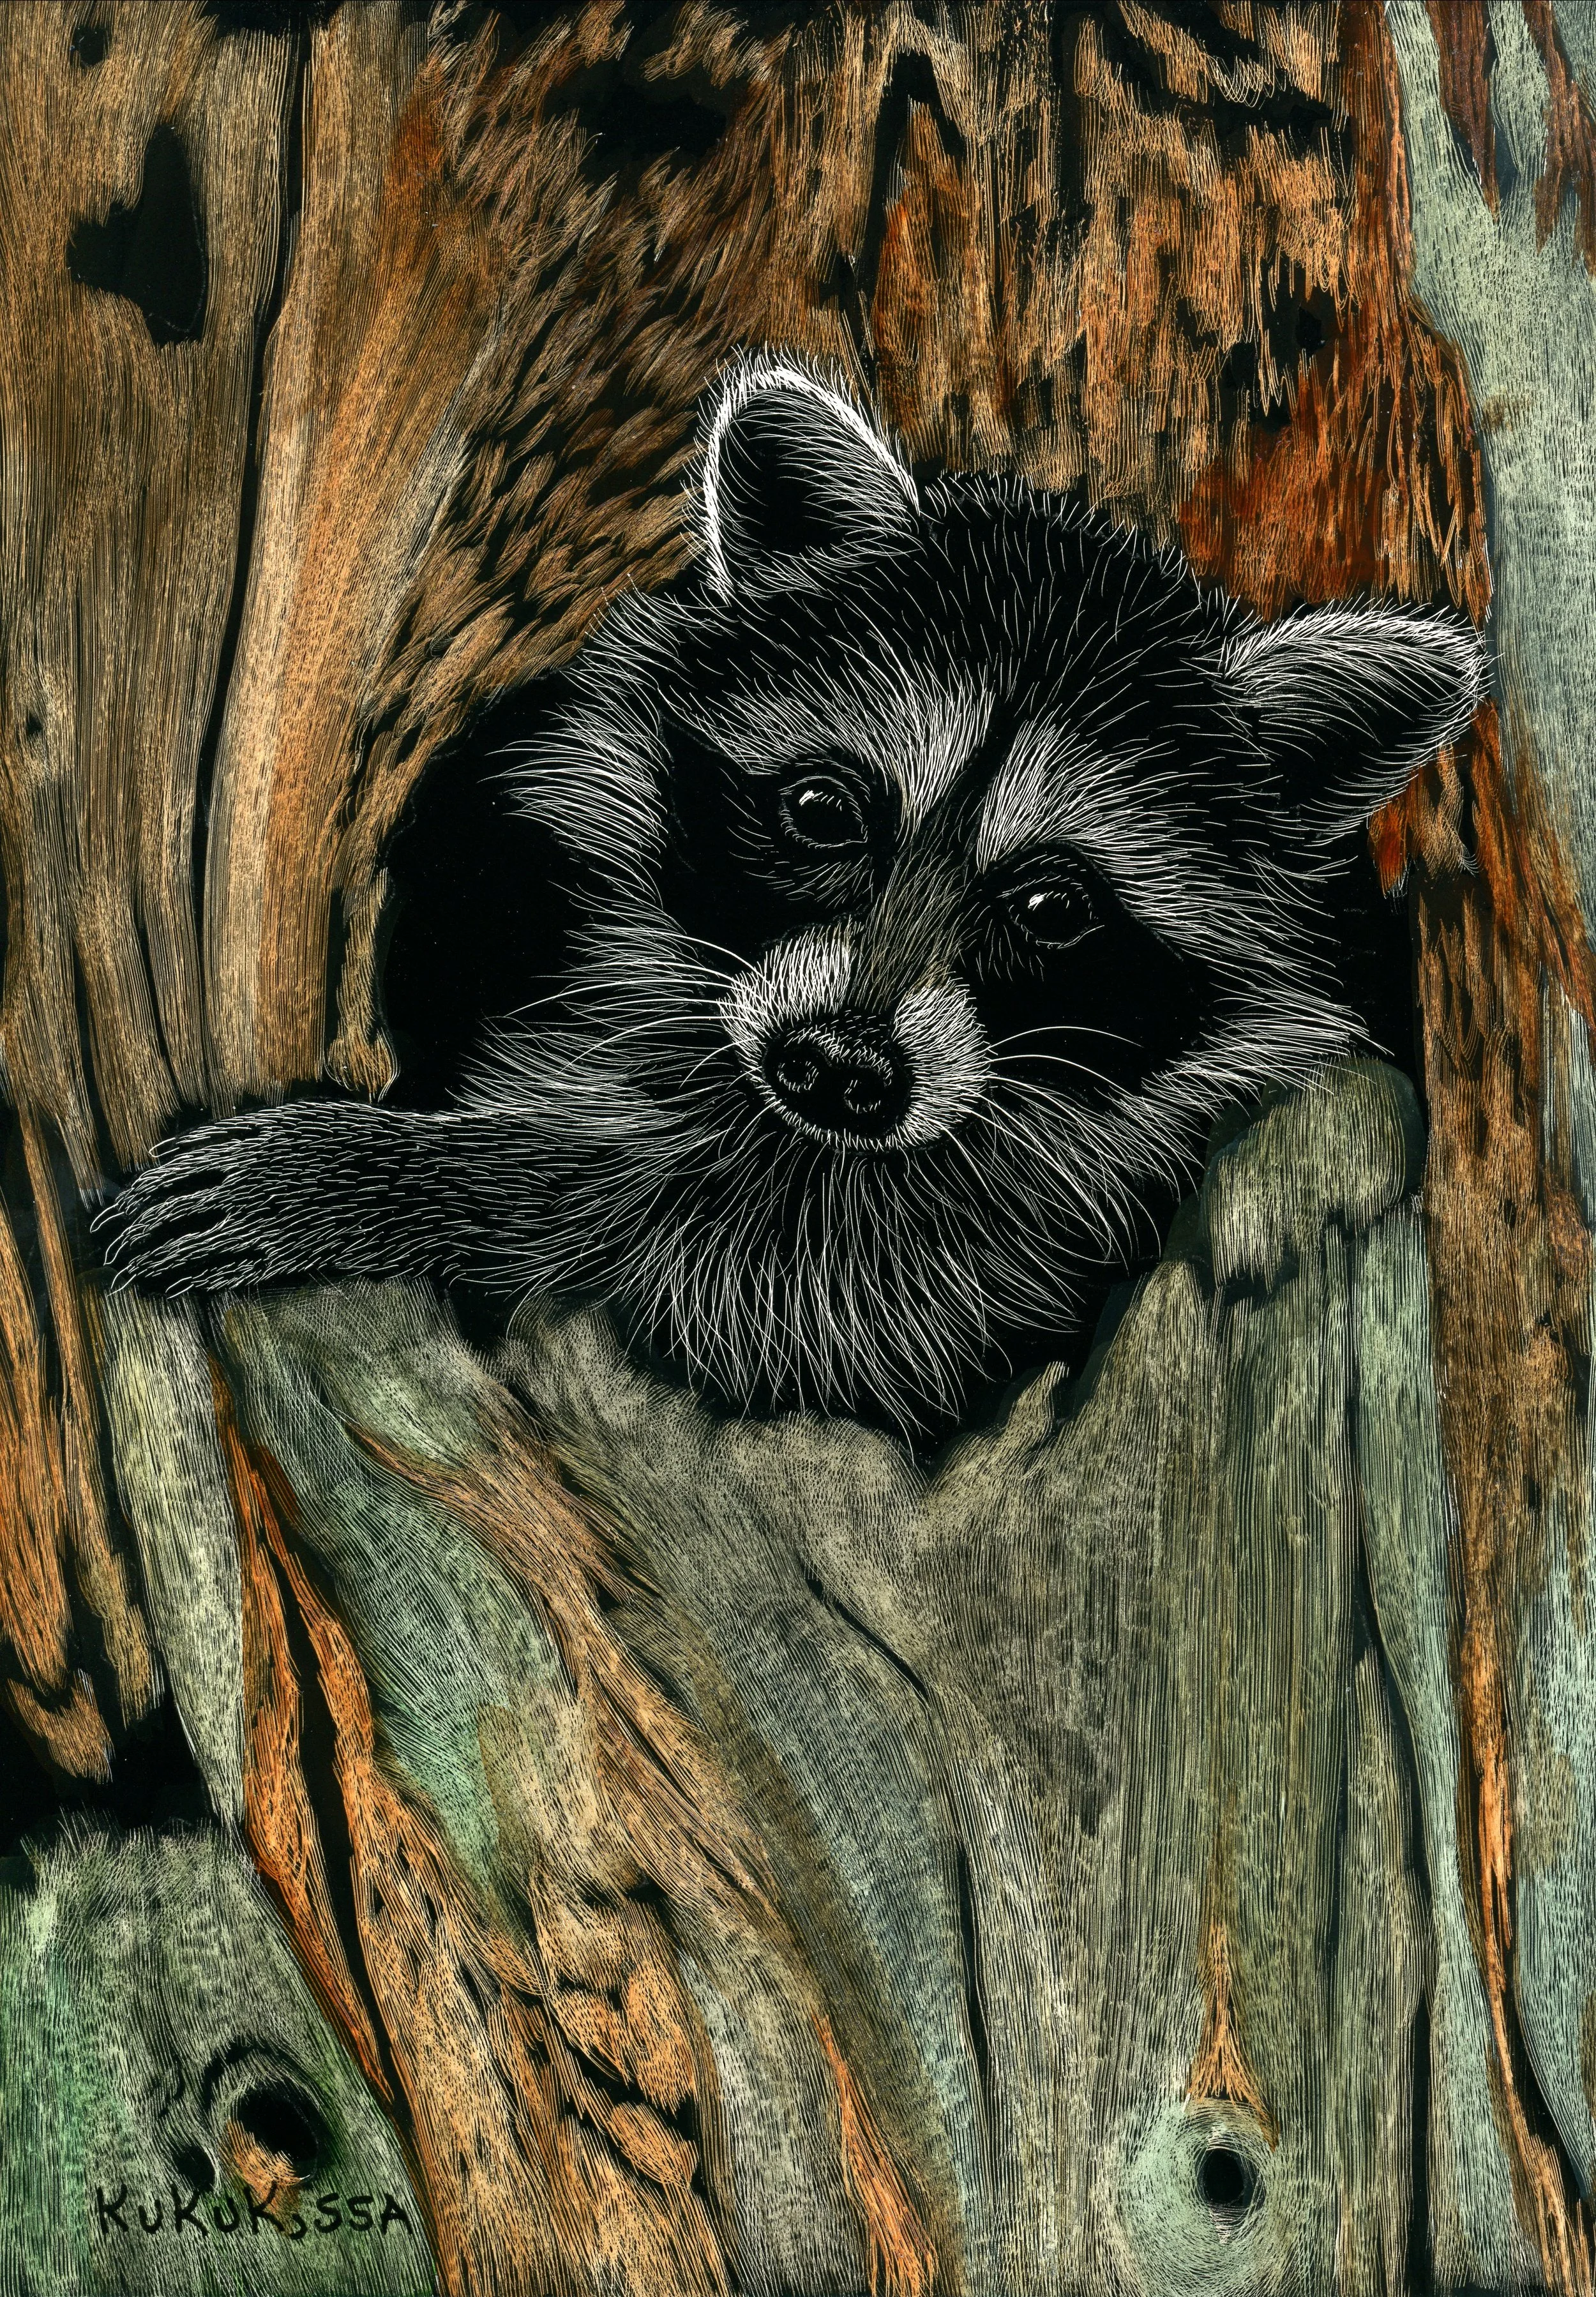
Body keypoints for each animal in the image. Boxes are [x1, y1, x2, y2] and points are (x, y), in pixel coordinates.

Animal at [101, 355, 1482, 1433]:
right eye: (824, 811)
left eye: (1051, 908)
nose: (839, 1066)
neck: (803, 1139)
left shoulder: (973, 1255)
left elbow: (733, 1274)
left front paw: (421, 1178)